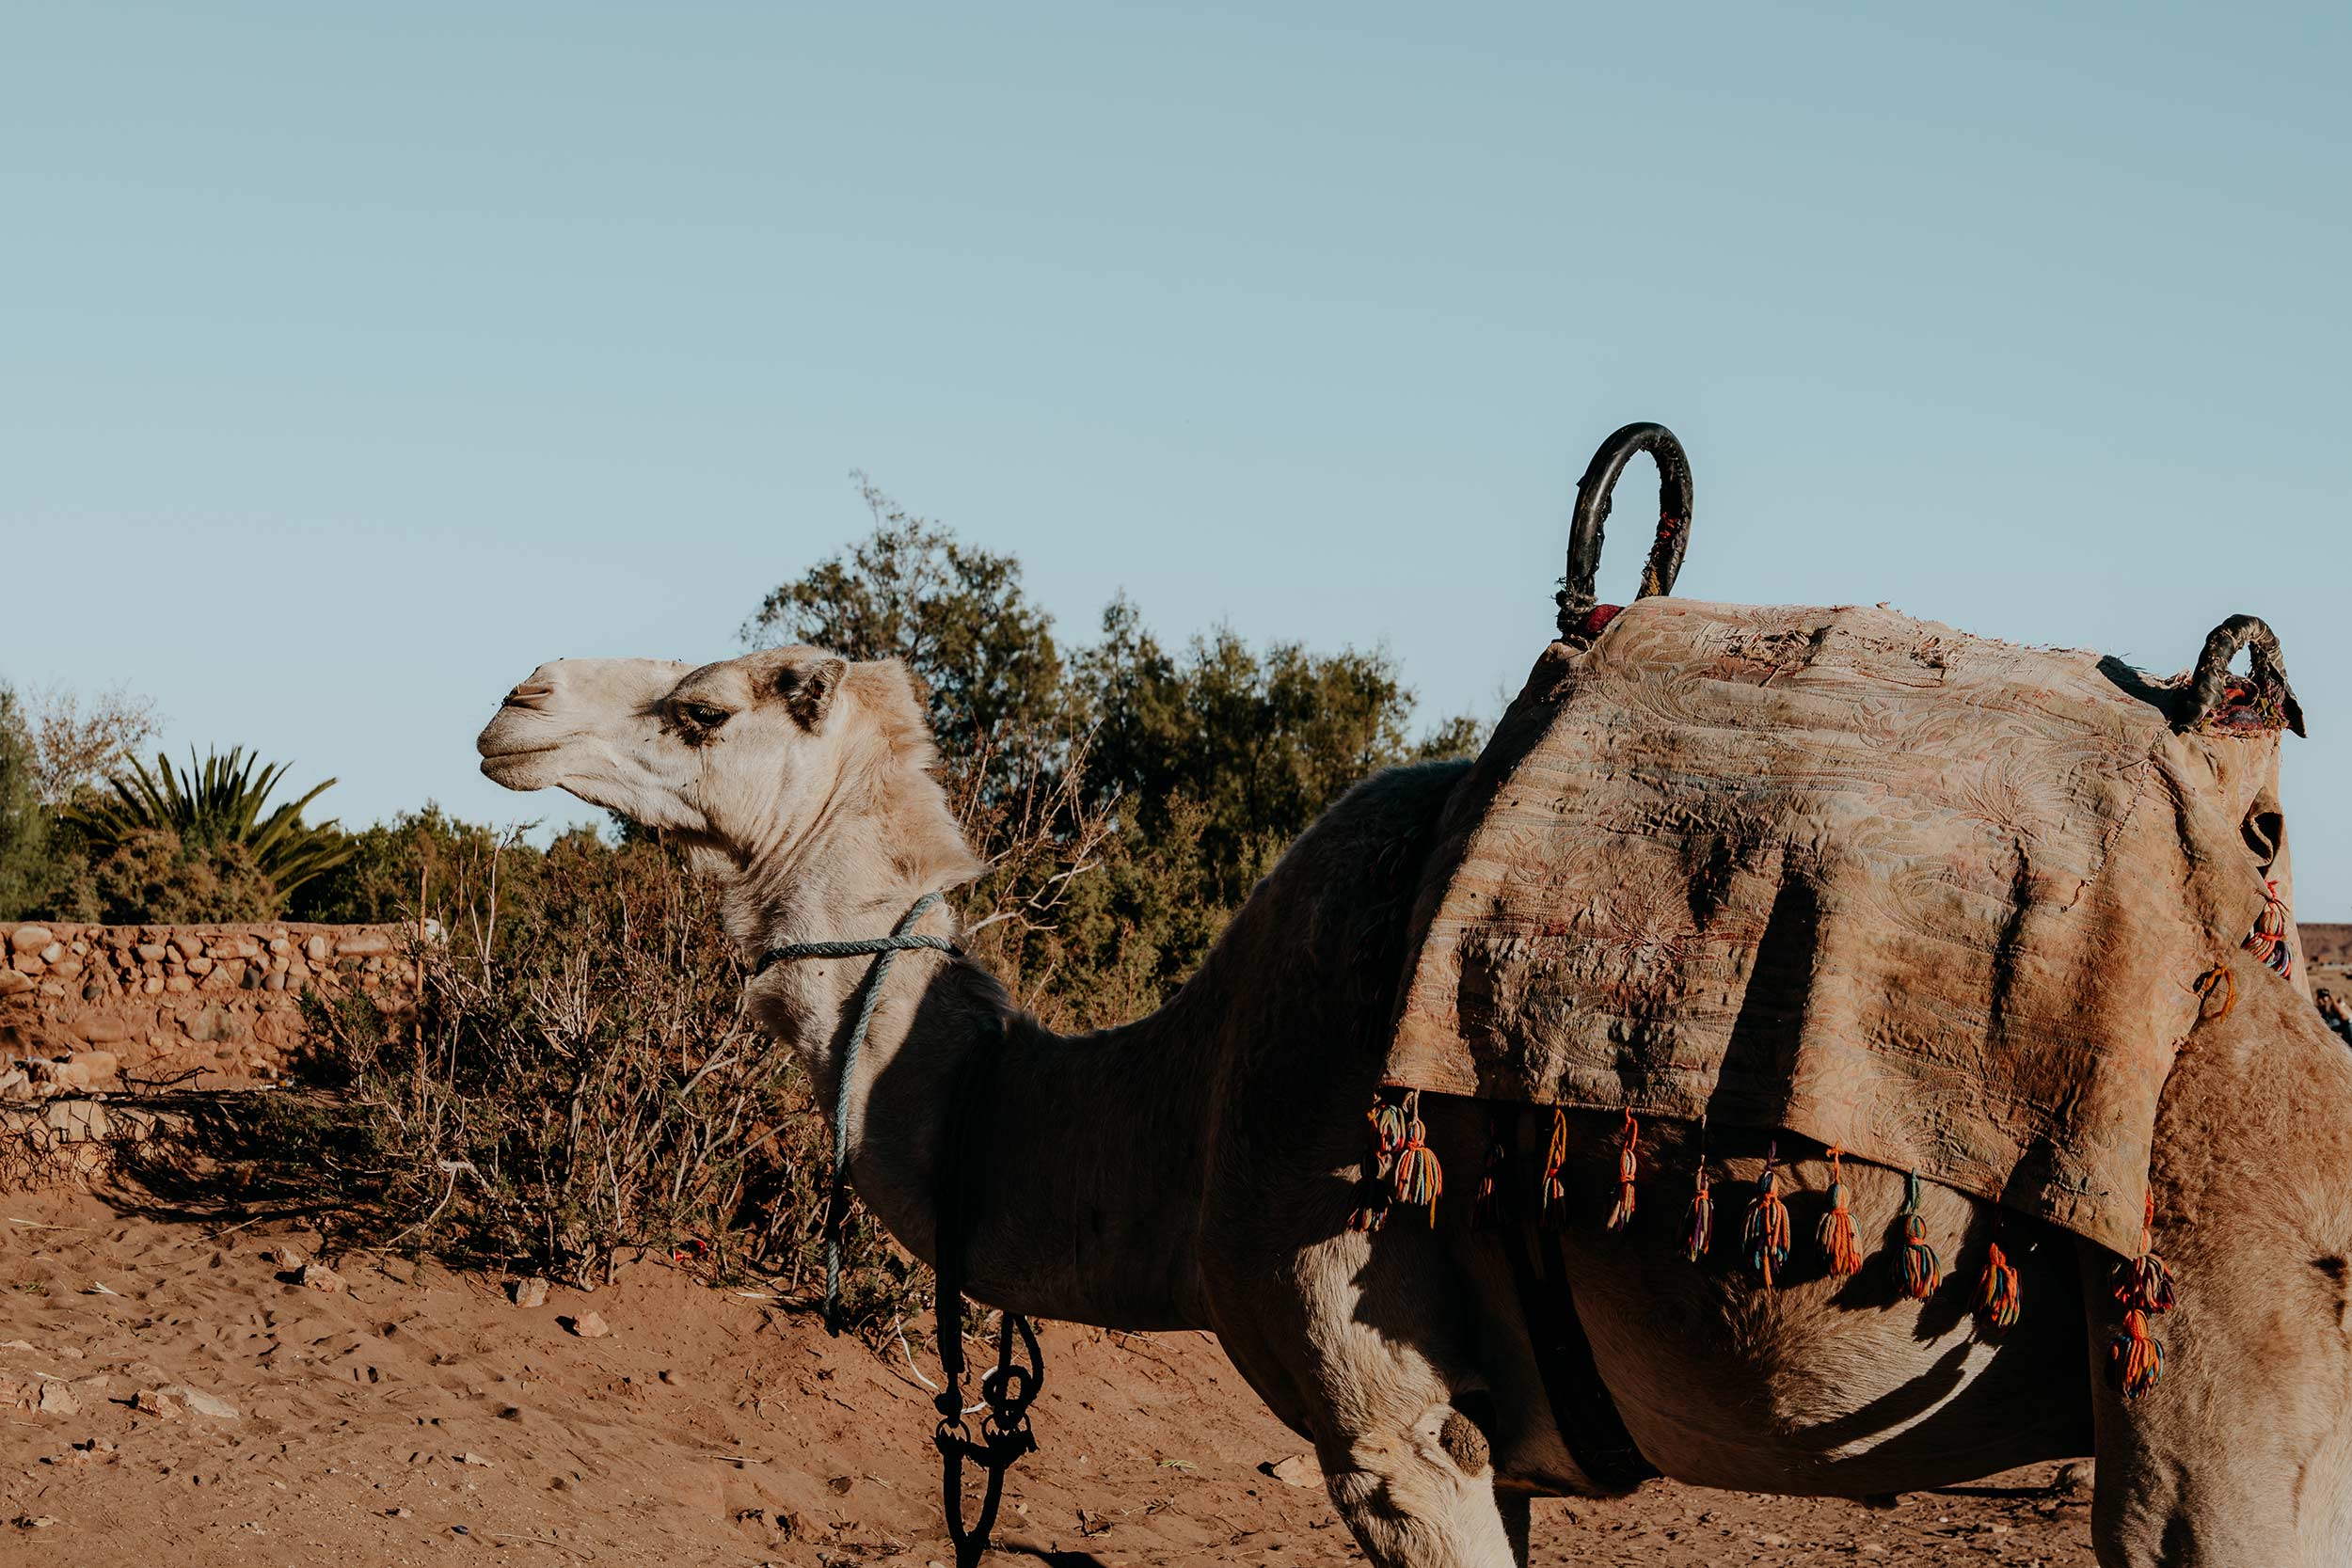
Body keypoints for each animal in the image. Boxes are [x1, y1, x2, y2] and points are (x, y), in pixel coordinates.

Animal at [472, 643, 2352, 1560]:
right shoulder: (1490, 1433)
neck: (1178, 1113)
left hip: (2229, 1349)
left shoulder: (1387, 1420)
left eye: (702, 705)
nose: (510, 705)